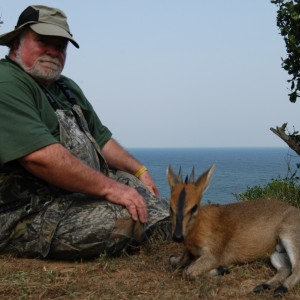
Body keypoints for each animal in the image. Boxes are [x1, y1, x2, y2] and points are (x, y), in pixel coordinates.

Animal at [168, 164, 300, 298]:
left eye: (194, 207)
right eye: (170, 207)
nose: (177, 236)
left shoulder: (214, 255)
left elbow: (187, 272)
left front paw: (222, 269)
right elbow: (175, 262)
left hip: (288, 235)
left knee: (297, 269)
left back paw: (281, 289)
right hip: (275, 252)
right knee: (286, 268)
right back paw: (263, 286)